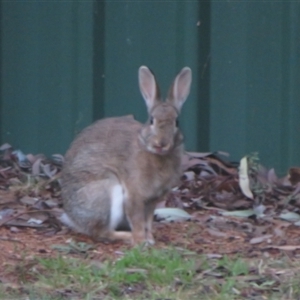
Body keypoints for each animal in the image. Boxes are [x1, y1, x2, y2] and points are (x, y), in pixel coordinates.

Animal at [60, 64, 192, 245]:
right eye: (151, 120)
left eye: (177, 122)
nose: (160, 143)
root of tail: (73, 218)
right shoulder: (134, 195)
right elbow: (137, 221)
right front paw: (141, 241)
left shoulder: (152, 201)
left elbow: (148, 221)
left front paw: (150, 239)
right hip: (105, 193)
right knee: (102, 232)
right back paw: (126, 236)